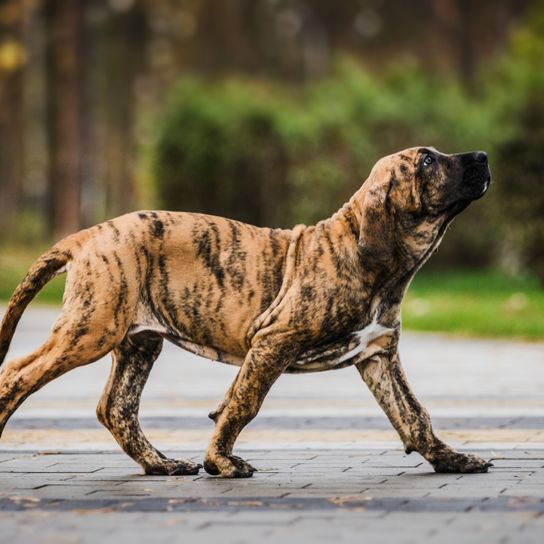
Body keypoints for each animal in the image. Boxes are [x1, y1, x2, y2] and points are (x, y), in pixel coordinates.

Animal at [0, 147, 492, 478]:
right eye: (426, 161)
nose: (483, 157)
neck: (379, 264)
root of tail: (90, 234)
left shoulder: (378, 355)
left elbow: (414, 414)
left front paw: (452, 458)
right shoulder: (273, 341)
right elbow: (244, 403)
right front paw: (220, 461)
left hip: (138, 341)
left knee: (116, 407)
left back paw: (161, 464)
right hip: (91, 330)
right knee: (18, 374)